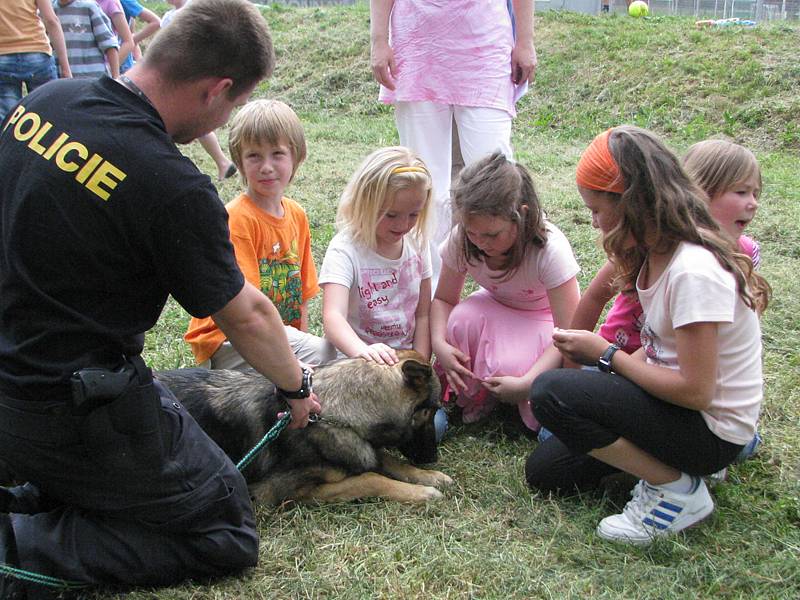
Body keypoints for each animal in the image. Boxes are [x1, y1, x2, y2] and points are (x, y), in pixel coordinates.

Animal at [156, 352, 454, 506]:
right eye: (429, 411)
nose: (432, 458)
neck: (332, 410)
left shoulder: (360, 446)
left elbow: (389, 461)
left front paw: (428, 477)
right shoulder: (290, 492)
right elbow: (371, 478)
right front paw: (421, 493)